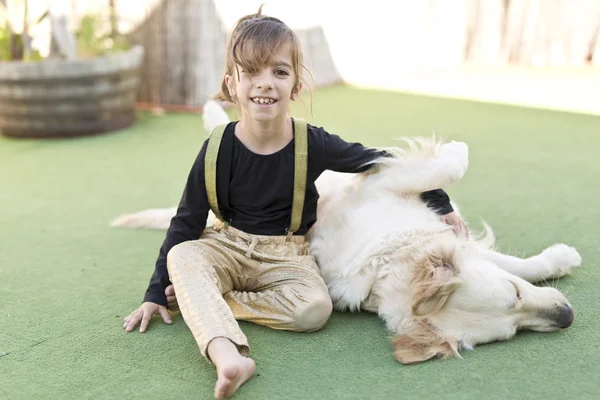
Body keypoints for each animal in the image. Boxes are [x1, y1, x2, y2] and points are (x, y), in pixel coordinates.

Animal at [112, 99, 580, 362]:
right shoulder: (385, 184)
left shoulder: (411, 208)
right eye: (513, 325)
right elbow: (448, 166)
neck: (391, 256)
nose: (568, 317)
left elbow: (506, 255)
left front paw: (556, 259)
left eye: (516, 309)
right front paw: (457, 149)